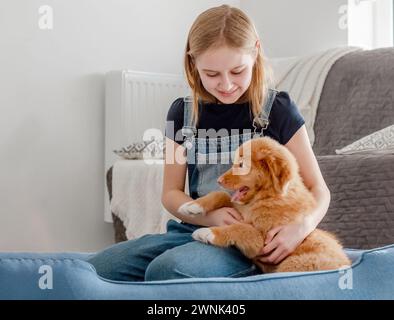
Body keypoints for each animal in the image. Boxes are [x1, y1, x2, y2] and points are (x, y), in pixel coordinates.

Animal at [179, 137, 350, 272]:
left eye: (241, 165)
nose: (218, 180)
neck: (266, 197)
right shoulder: (240, 207)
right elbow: (221, 195)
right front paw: (192, 206)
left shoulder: (263, 242)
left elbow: (241, 228)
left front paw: (207, 233)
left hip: (294, 264)